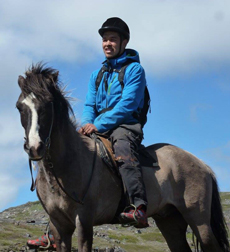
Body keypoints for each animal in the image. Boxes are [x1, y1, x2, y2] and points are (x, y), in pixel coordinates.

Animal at [15, 63, 228, 252]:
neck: (65, 167)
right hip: (169, 220)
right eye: (19, 107)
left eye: (49, 102)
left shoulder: (84, 221)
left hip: (199, 221)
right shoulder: (59, 226)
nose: (35, 147)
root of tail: (203, 165)